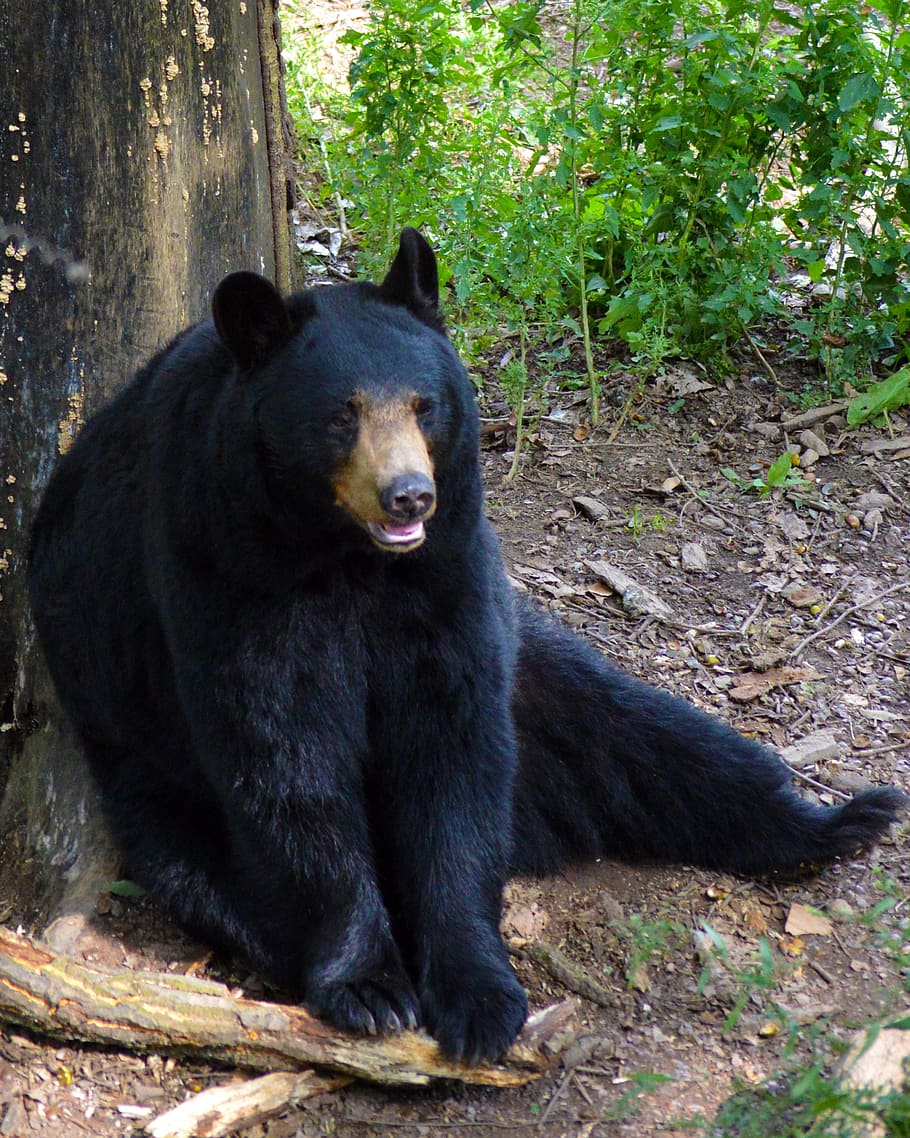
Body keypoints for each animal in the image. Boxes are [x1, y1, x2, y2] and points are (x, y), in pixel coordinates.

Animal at [28, 226, 900, 1060]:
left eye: (425, 404)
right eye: (341, 414)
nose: (408, 494)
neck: (347, 558)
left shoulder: (447, 571)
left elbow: (451, 749)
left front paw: (478, 992)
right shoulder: (222, 560)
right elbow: (285, 752)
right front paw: (370, 984)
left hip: (546, 678)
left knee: (654, 740)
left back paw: (838, 821)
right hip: (143, 766)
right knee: (205, 870)